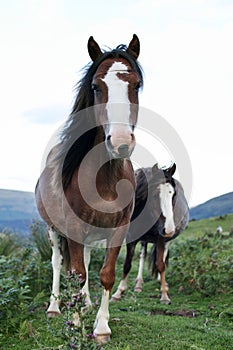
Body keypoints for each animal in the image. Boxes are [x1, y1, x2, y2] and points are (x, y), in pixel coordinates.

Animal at [35, 34, 143, 342]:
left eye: (136, 85)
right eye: (96, 86)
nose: (120, 142)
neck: (105, 178)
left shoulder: (119, 228)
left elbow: (105, 274)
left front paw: (101, 326)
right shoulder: (71, 226)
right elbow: (77, 273)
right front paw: (74, 324)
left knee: (82, 258)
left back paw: (85, 302)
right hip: (54, 229)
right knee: (58, 263)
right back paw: (55, 308)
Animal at [111, 163, 189, 304]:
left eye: (174, 194)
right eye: (154, 194)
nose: (169, 229)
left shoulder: (160, 238)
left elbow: (161, 264)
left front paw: (164, 295)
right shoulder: (131, 237)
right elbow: (127, 264)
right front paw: (118, 292)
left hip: (166, 241)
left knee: (162, 256)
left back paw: (161, 282)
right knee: (142, 255)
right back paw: (138, 284)